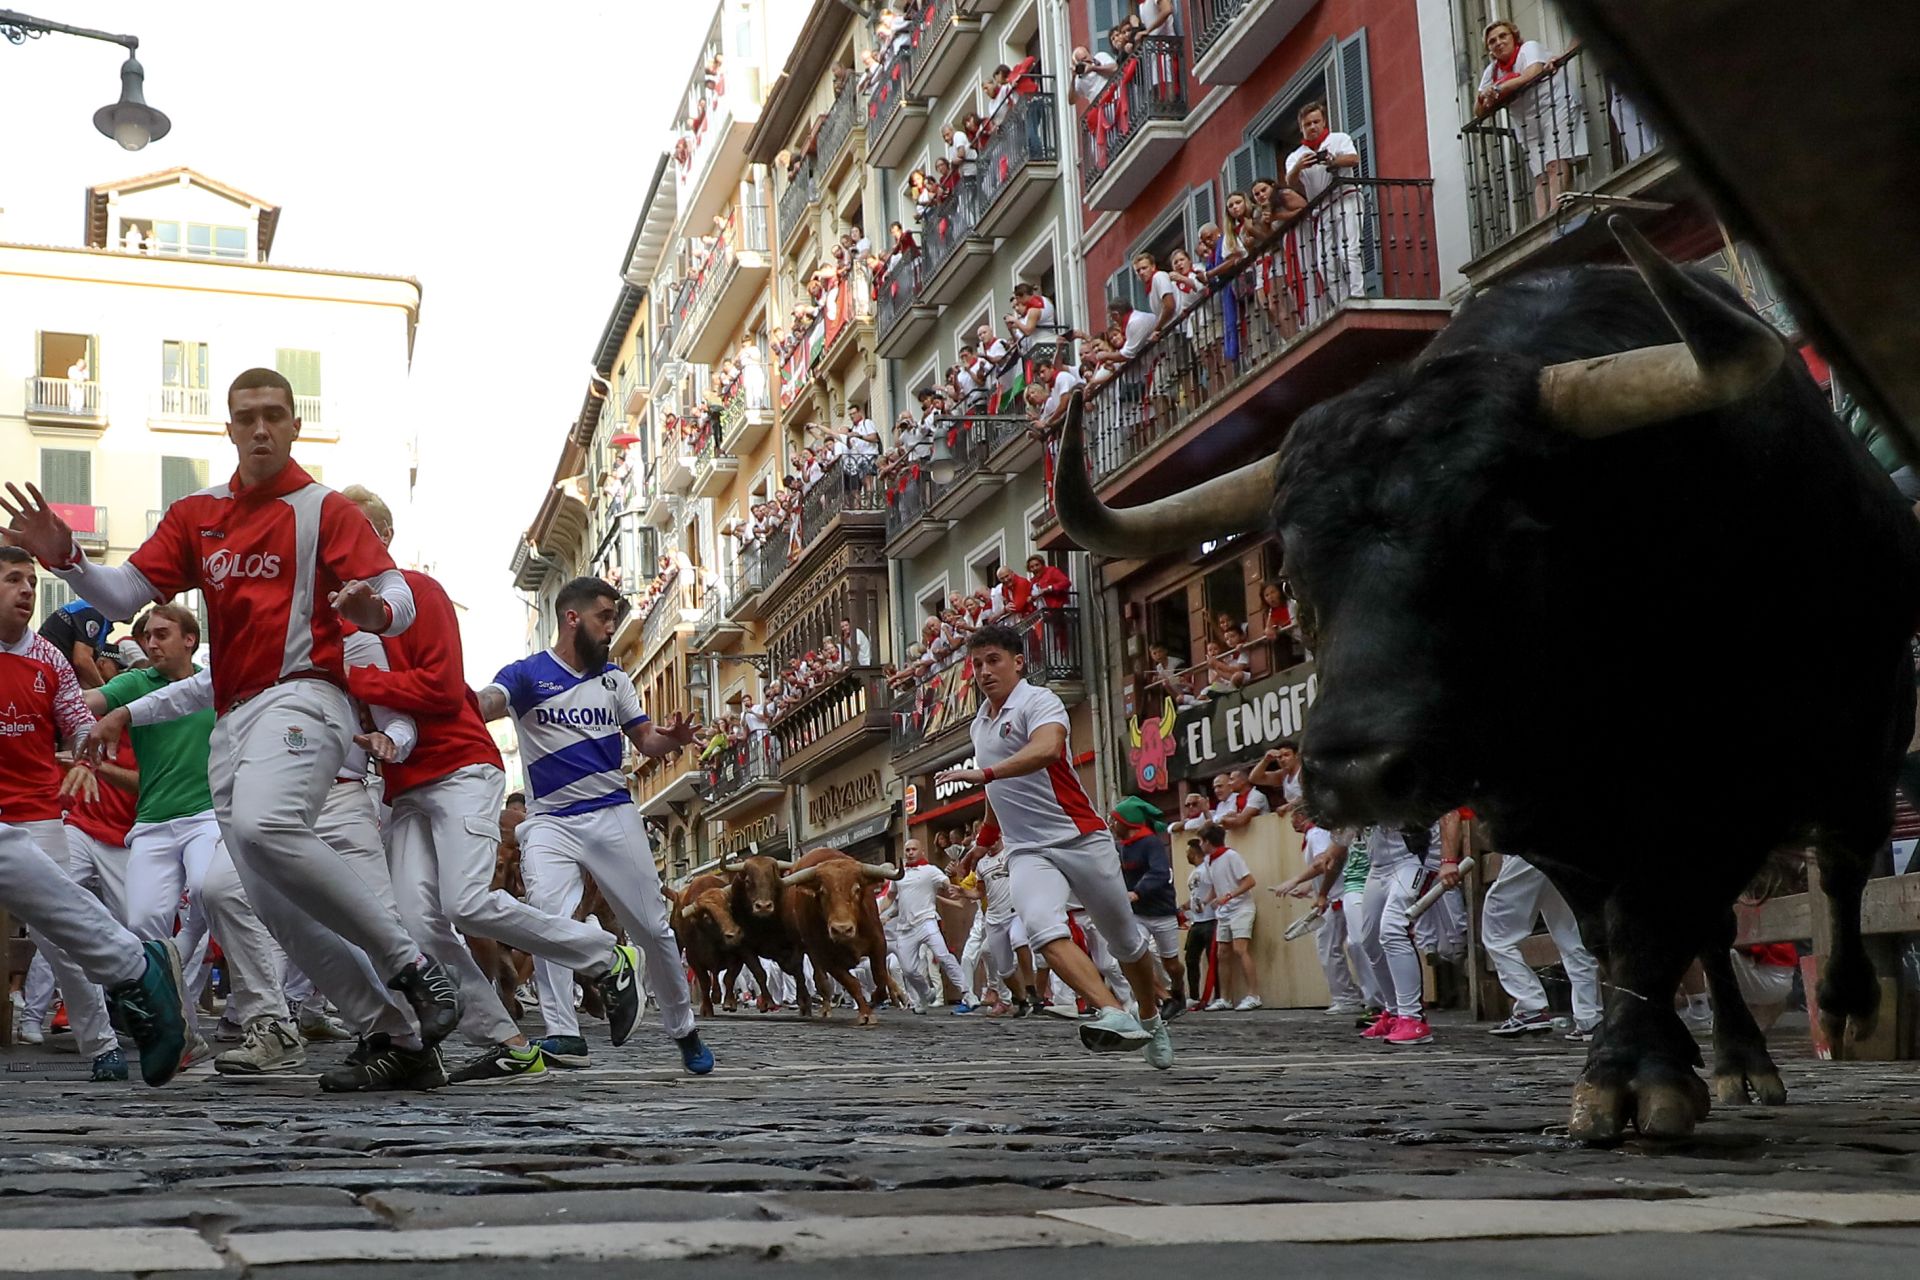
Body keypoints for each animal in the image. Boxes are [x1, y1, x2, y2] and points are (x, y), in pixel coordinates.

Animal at [775, 852, 902, 1028]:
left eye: (856, 889)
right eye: (822, 891)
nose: (841, 929)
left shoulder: (879, 943)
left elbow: (880, 975)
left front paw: (876, 998)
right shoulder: (826, 957)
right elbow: (852, 983)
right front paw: (866, 1013)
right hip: (809, 951)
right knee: (818, 979)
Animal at [1059, 214, 1920, 1143]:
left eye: (1508, 533)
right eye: (1289, 566)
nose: (1355, 773)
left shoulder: (1721, 779)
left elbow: (1655, 917)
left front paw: (1637, 1073)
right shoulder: (1542, 814)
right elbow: (1619, 930)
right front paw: (1643, 1061)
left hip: (1864, 735)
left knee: (1841, 864)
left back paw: (1844, 1005)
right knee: (1721, 928)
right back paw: (1734, 1057)